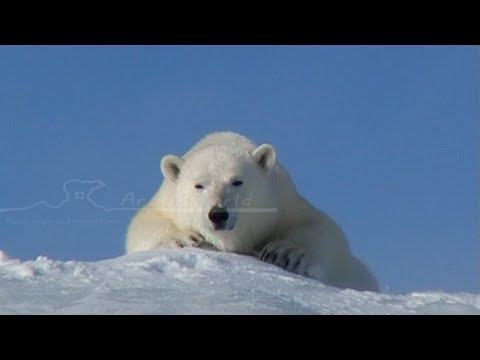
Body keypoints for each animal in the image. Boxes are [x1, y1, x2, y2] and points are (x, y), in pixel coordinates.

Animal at [125, 132, 380, 292]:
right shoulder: (167, 200)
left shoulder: (281, 200)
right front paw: (183, 239)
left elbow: (323, 227)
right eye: (199, 185)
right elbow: (142, 223)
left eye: (237, 181)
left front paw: (284, 252)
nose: (218, 214)